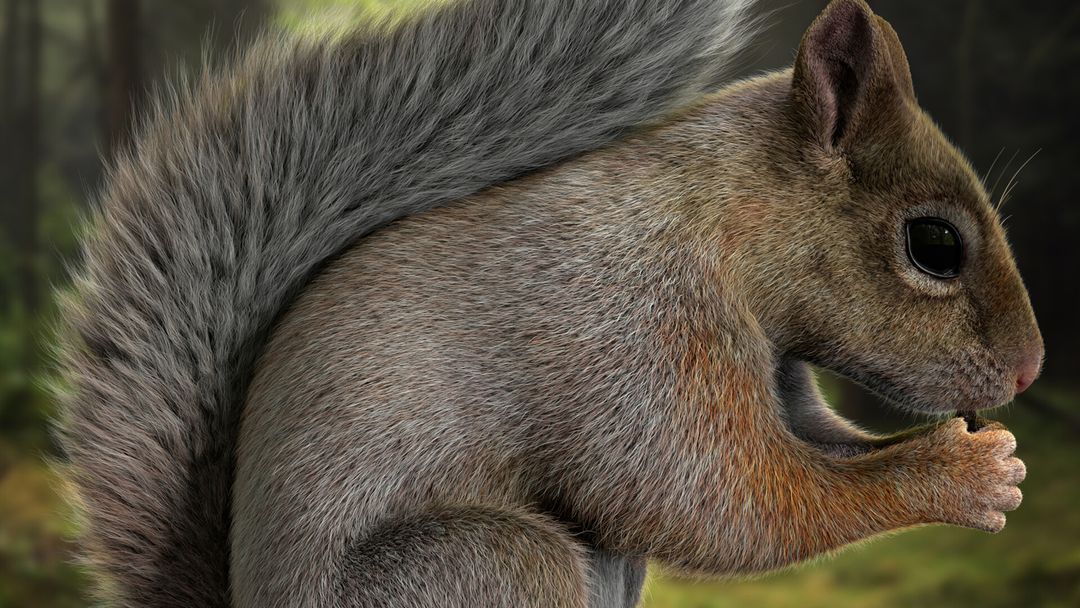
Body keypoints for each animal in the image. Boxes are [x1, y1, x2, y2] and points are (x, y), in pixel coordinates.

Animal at [57, 0, 1044, 606]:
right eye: (933, 245)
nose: (1031, 369)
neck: (720, 219)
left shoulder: (775, 368)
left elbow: (813, 449)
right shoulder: (635, 333)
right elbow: (725, 504)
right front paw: (963, 475)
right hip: (488, 564)